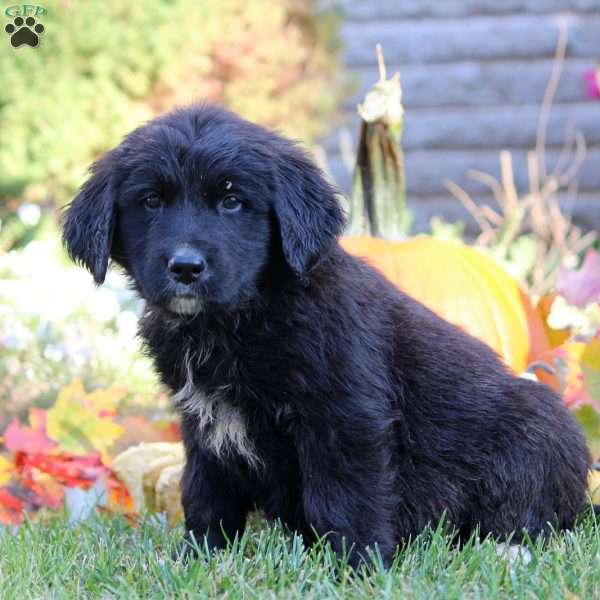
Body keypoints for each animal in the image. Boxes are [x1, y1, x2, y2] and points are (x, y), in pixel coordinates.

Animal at [62, 104, 592, 568]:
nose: (186, 267)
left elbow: (344, 498)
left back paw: (506, 550)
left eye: (232, 201)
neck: (243, 316)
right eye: (151, 201)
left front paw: (357, 566)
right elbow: (206, 494)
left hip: (538, 424)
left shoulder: (344, 416)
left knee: (529, 515)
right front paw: (198, 559)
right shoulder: (202, 423)